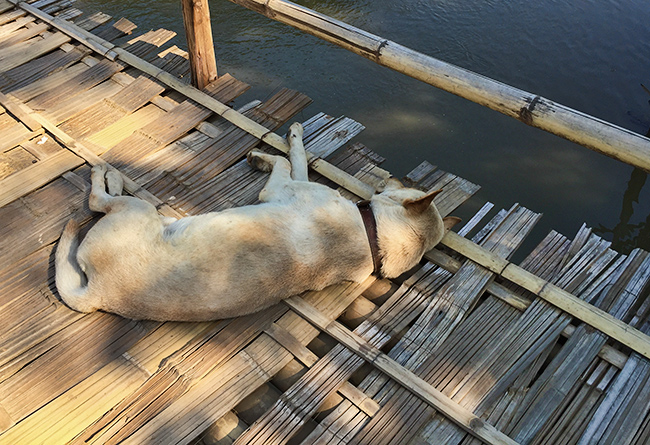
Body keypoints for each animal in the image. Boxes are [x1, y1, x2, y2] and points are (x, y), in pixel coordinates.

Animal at [55, 123, 458, 320]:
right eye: (408, 185)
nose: (397, 177)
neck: (372, 235)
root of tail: (99, 293)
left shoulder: (281, 188)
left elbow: (289, 158)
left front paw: (265, 153)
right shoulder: (291, 184)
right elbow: (298, 158)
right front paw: (285, 142)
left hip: (133, 211)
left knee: (98, 199)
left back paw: (108, 175)